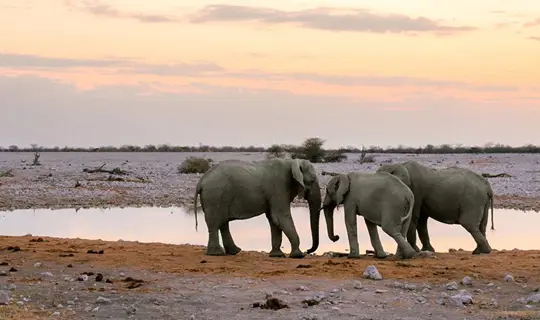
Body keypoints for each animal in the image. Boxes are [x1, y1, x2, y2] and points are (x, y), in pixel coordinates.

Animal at [192, 159, 332, 258]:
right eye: (312, 181)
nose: (308, 250)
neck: (292, 162)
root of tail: (201, 181)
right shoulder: (278, 188)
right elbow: (280, 217)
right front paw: (298, 256)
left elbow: (274, 220)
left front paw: (277, 256)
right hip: (215, 195)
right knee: (215, 223)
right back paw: (217, 254)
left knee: (223, 223)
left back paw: (234, 252)